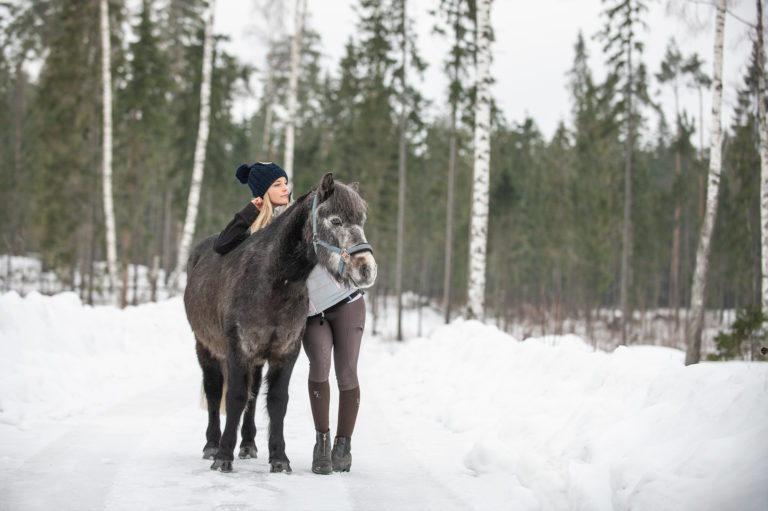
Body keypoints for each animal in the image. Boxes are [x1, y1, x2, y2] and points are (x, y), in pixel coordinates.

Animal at [186, 174, 378, 474]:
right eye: (336, 221)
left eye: (362, 221)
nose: (366, 268)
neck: (272, 280)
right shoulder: (237, 349)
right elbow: (235, 397)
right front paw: (224, 457)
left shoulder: (285, 352)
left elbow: (276, 401)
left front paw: (278, 457)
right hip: (205, 347)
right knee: (215, 390)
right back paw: (212, 445)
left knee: (253, 395)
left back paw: (248, 445)